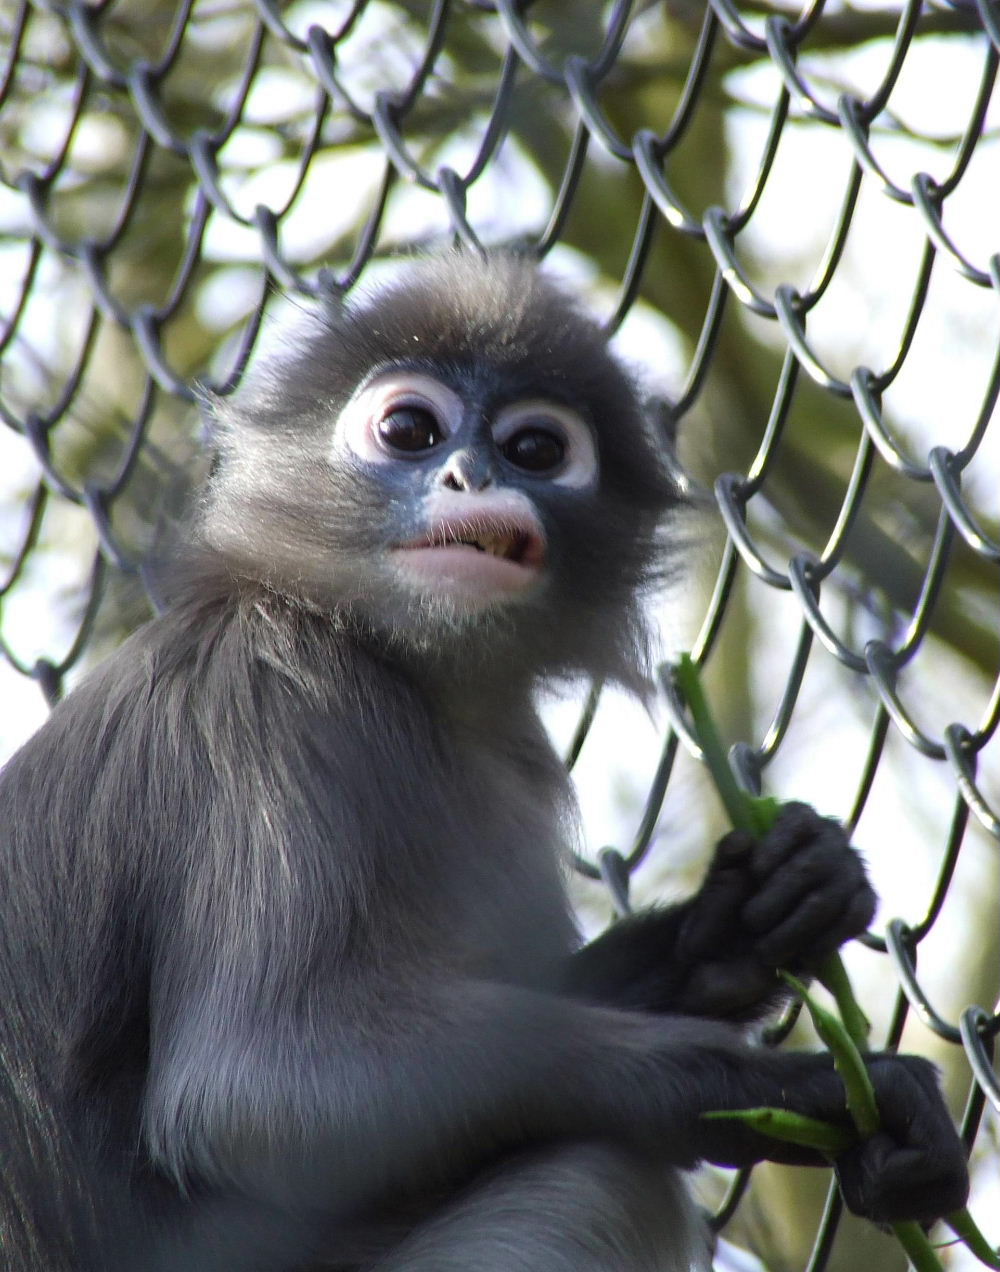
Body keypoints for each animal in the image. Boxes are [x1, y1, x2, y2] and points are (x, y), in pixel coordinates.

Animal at [0, 252, 968, 1272]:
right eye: (409, 431)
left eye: (536, 448)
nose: (469, 474)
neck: (395, 664)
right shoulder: (266, 701)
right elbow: (255, 1086)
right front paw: (784, 1092)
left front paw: (764, 903)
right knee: (603, 1173)